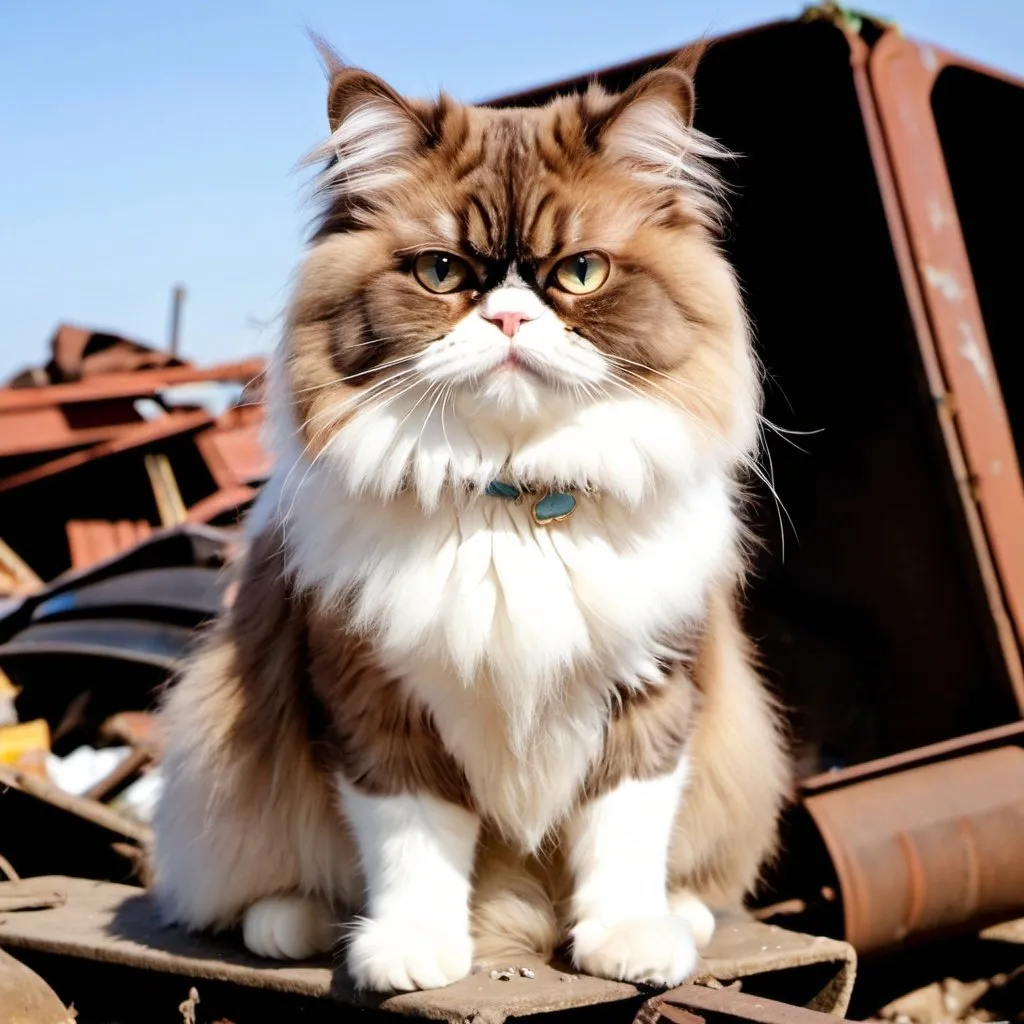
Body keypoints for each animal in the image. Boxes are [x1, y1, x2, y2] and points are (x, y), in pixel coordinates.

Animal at [151, 41, 790, 991]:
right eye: (443, 273)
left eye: (581, 272)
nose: (511, 318)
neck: (513, 500)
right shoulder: (374, 702)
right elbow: (413, 844)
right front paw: (413, 952)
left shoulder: (654, 691)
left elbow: (625, 831)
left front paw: (629, 942)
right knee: (256, 889)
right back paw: (298, 925)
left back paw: (681, 918)